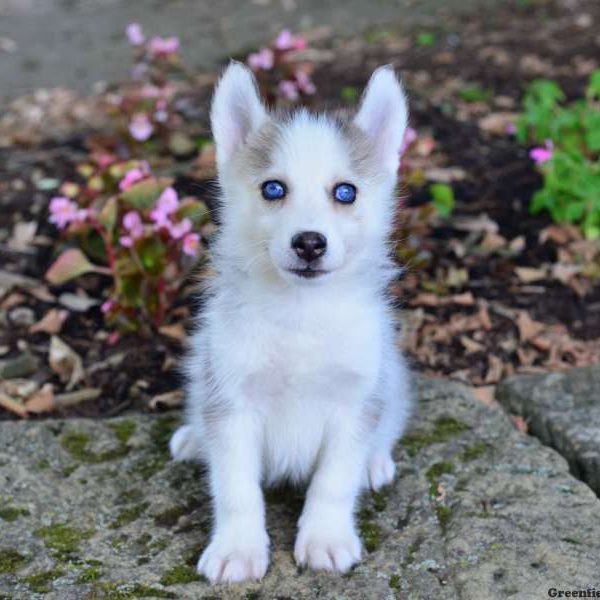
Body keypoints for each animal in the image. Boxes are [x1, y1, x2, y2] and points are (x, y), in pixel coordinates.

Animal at [169, 63, 412, 584]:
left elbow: (332, 483)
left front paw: (326, 539)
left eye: (346, 192)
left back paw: (375, 462)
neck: (301, 313)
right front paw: (238, 549)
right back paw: (194, 438)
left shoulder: (353, 404)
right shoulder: (232, 404)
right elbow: (236, 490)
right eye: (273, 188)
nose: (309, 243)